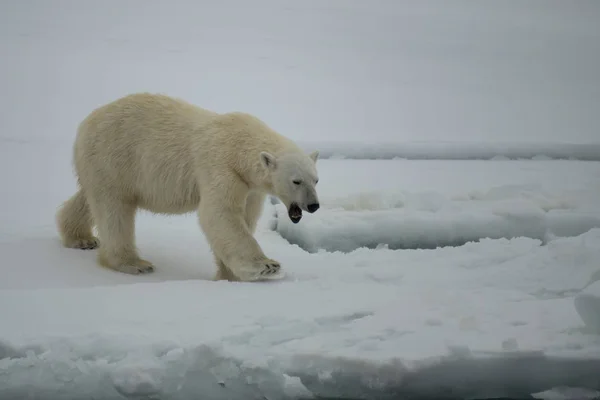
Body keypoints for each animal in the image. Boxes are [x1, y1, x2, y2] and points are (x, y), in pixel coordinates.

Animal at [54, 93, 322, 282]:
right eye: (296, 181)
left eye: (316, 179)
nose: (313, 205)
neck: (239, 145)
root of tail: (85, 123)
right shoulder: (220, 166)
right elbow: (219, 214)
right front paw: (267, 266)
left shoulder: (250, 186)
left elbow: (243, 217)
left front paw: (229, 275)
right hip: (113, 156)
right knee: (114, 210)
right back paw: (134, 263)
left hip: (103, 165)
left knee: (89, 198)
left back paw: (81, 238)